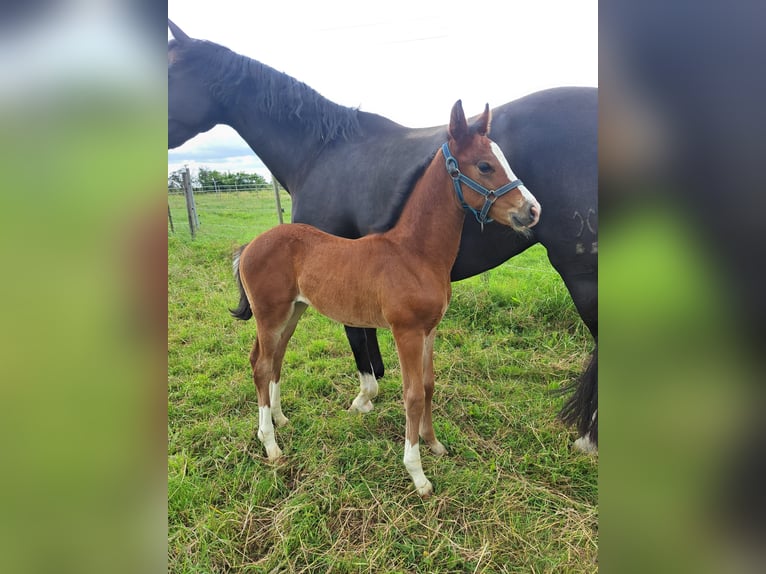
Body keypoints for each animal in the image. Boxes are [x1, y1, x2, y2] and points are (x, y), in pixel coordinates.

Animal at [168, 20, 600, 452]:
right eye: (485, 165)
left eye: (170, 70)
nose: (532, 209)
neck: (319, 151)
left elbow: (362, 340)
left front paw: (368, 400)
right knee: (268, 356)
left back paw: (588, 440)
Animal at [232, 101, 540, 498]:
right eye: (485, 165)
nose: (532, 210)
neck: (414, 254)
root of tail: (250, 245)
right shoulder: (405, 331)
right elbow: (412, 394)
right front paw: (417, 474)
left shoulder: (429, 330)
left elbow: (428, 385)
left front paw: (434, 444)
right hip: (269, 315)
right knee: (260, 365)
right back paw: (270, 444)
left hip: (293, 312)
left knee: (274, 361)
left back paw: (280, 419)